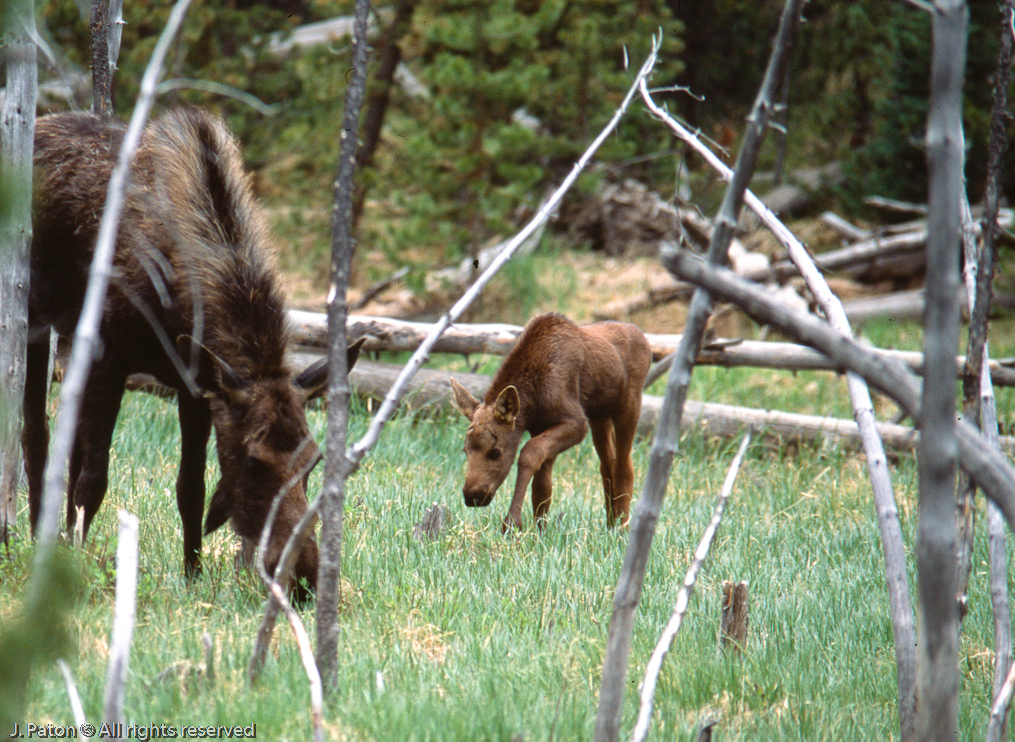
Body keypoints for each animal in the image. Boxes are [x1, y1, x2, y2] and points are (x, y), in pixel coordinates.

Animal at [20, 108, 357, 596]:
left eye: (314, 461)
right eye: (253, 461)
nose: (303, 578)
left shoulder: (196, 382)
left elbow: (190, 487)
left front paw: (193, 574)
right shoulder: (109, 355)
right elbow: (94, 477)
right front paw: (77, 570)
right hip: (35, 321)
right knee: (36, 436)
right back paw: (35, 537)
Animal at [450, 310, 649, 531]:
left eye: (495, 452)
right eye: (465, 450)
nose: (472, 496)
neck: (532, 400)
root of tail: (643, 337)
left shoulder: (576, 422)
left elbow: (529, 454)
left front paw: (512, 523)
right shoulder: (541, 425)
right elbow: (542, 486)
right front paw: (540, 530)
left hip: (629, 404)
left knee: (624, 465)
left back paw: (622, 527)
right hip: (600, 415)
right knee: (607, 463)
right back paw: (611, 523)